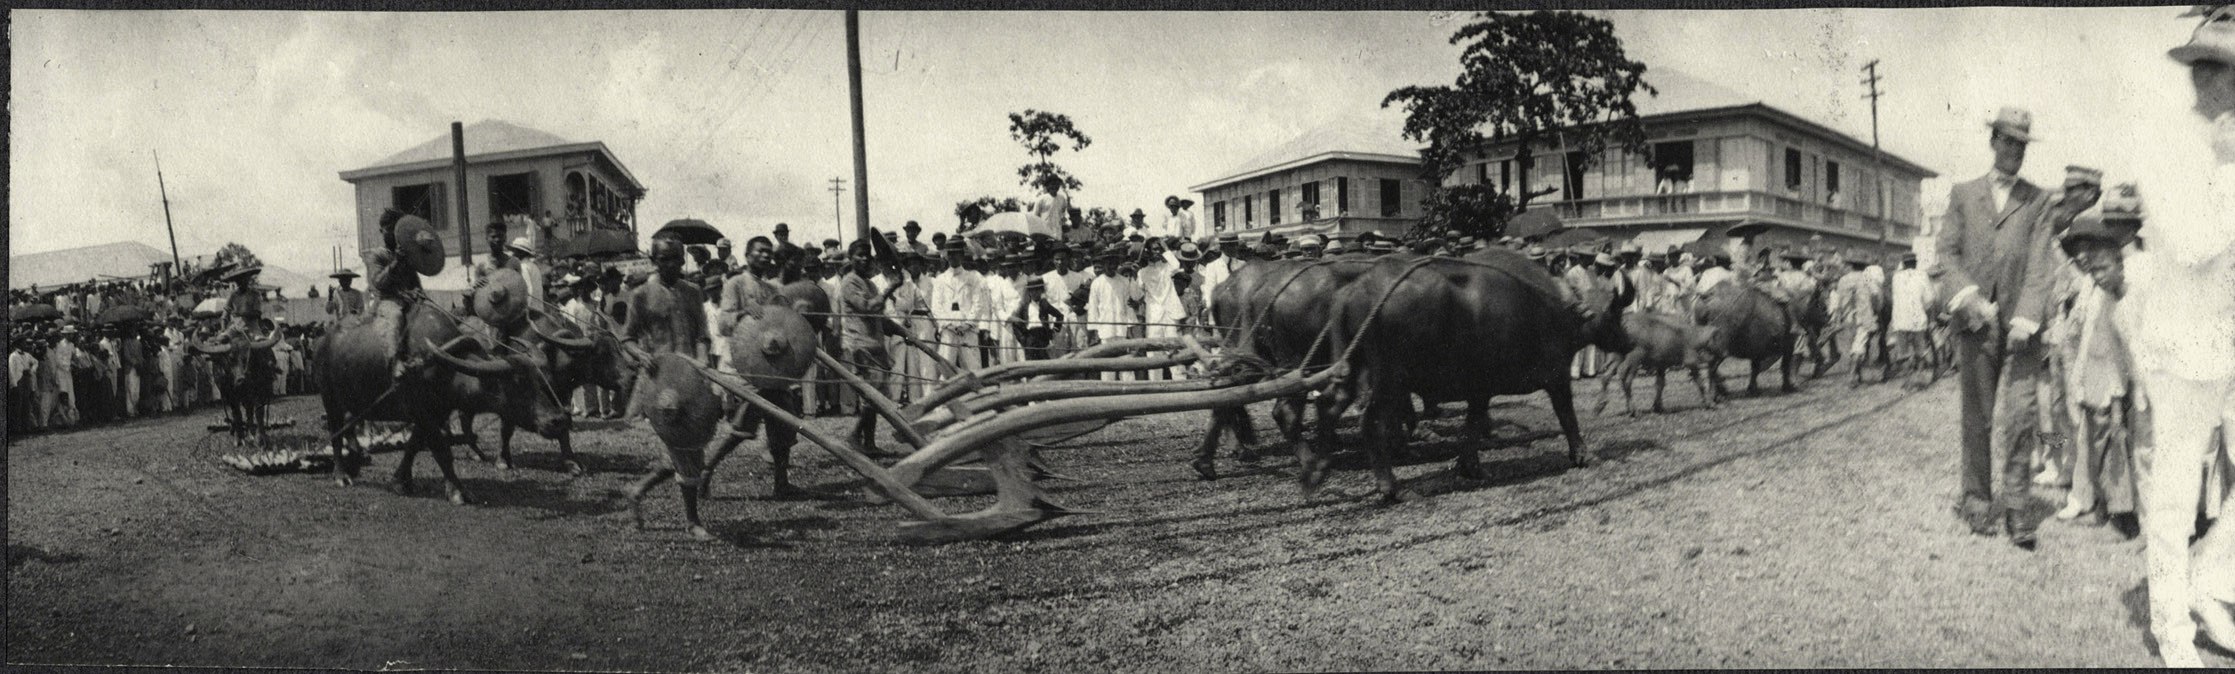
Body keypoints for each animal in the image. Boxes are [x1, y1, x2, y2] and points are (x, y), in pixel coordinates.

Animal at [319, 296, 572, 502]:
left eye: (540, 380)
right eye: (516, 385)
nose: (558, 420)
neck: (441, 368)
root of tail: (323, 340)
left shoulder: (436, 413)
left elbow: (414, 445)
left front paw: (401, 481)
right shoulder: (424, 414)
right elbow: (441, 450)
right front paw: (458, 491)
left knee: (349, 426)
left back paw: (356, 458)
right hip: (330, 400)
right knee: (335, 433)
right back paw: (341, 475)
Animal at [1314, 248, 1636, 499]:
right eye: (1616, 314)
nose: (1629, 342)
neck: (1554, 312)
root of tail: (1354, 291)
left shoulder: (1481, 388)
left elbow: (1473, 424)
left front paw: (1469, 466)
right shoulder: (1557, 376)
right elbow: (1567, 415)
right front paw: (1582, 455)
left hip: (1351, 369)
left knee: (1328, 404)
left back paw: (1314, 469)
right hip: (1388, 380)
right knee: (1370, 421)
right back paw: (1390, 487)